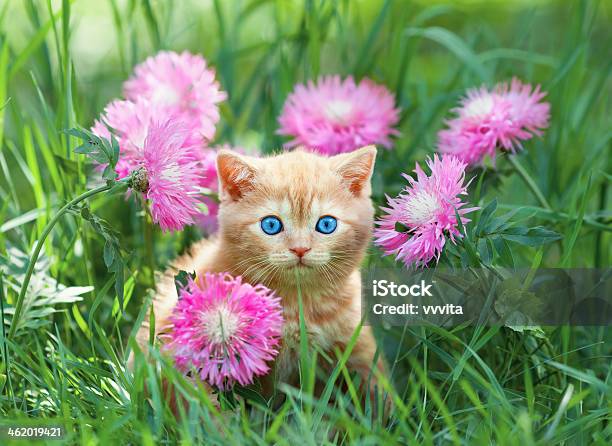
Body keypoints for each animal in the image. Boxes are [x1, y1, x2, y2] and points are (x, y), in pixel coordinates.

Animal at [136, 146, 384, 404]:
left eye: (326, 224)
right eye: (271, 225)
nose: (300, 249)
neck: (297, 302)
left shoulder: (355, 341)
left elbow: (377, 387)